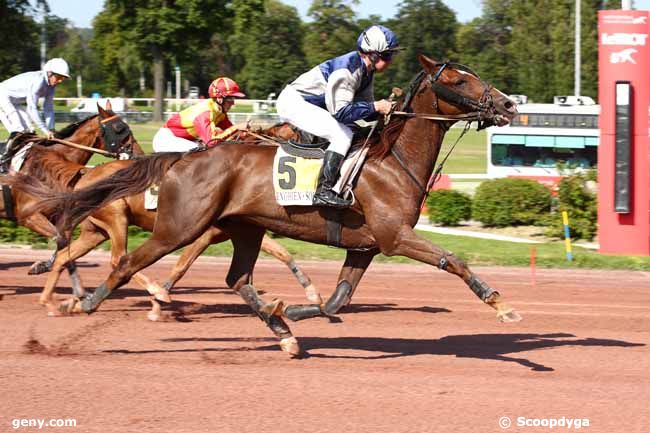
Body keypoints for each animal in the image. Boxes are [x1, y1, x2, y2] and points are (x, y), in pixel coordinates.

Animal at [41, 54, 516, 354]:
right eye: (458, 80)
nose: (509, 104)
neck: (391, 160)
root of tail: (183, 159)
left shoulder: (365, 246)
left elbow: (336, 301)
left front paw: (293, 310)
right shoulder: (395, 237)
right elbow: (454, 261)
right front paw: (501, 304)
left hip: (243, 228)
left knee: (237, 279)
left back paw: (281, 331)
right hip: (179, 226)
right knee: (126, 263)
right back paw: (80, 304)